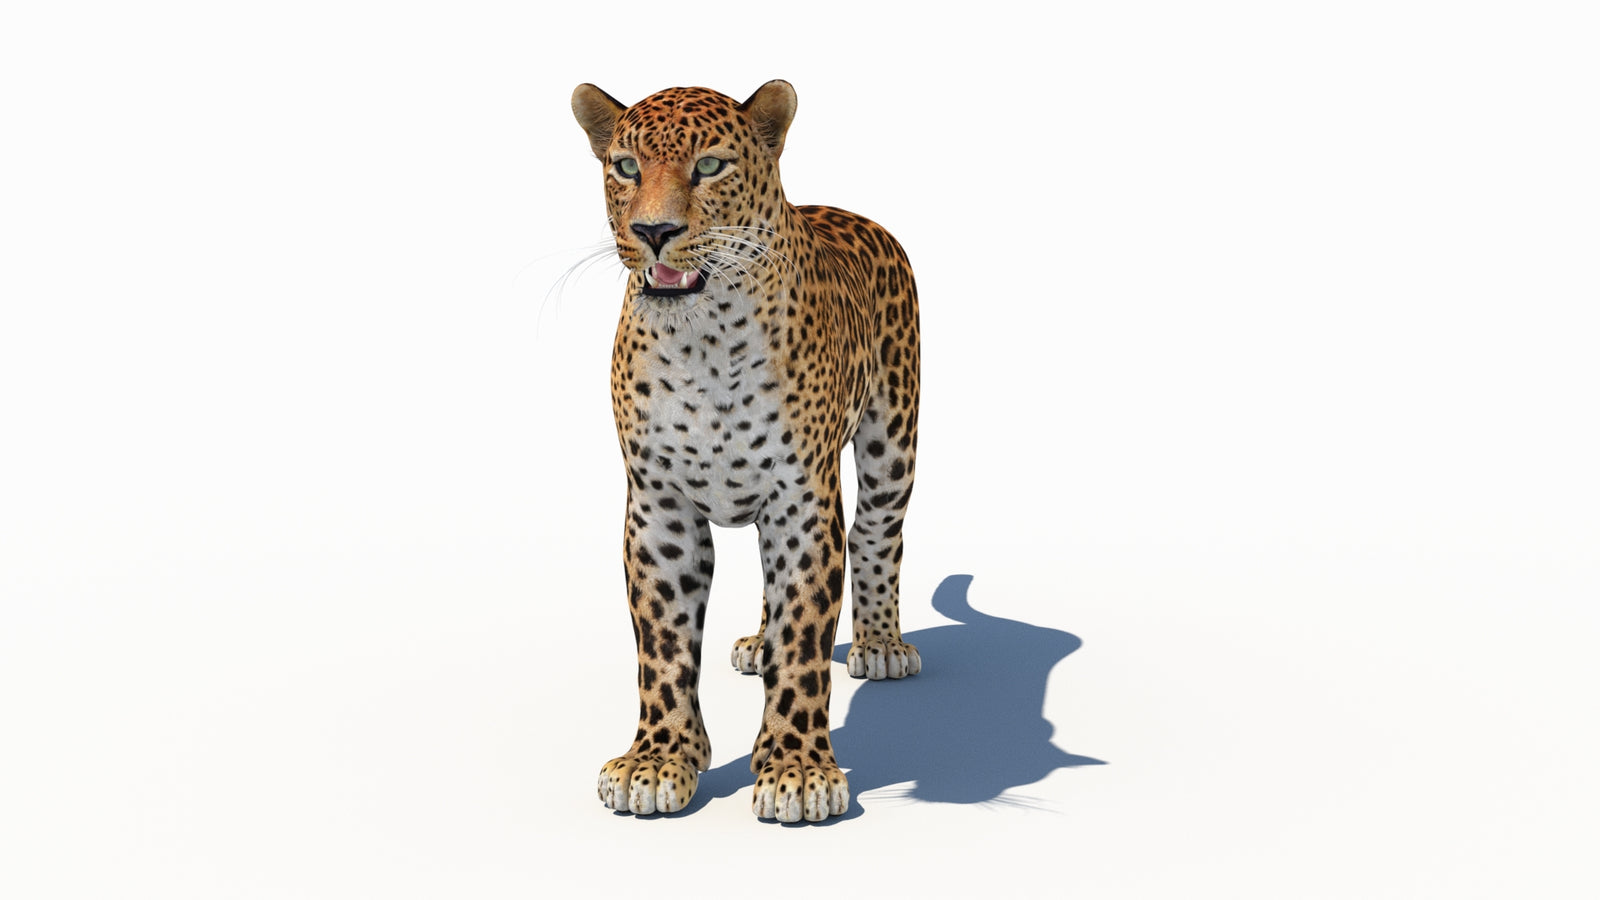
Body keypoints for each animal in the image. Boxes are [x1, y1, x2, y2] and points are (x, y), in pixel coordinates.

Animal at [571, 80, 921, 823]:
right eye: (625, 168)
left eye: (709, 167)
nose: (653, 232)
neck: (702, 341)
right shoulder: (659, 508)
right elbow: (664, 644)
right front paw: (658, 759)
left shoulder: (803, 500)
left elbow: (806, 637)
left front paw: (798, 771)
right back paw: (759, 643)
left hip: (892, 443)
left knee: (876, 535)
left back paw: (880, 645)